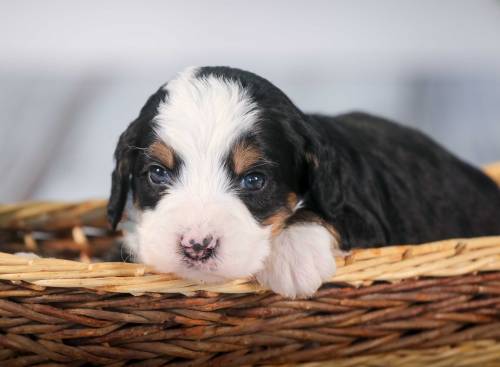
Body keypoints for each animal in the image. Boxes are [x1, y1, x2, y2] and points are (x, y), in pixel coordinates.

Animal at [107, 66, 500, 298]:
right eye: (158, 173)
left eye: (254, 180)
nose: (197, 246)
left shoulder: (366, 219)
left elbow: (312, 212)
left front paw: (293, 257)